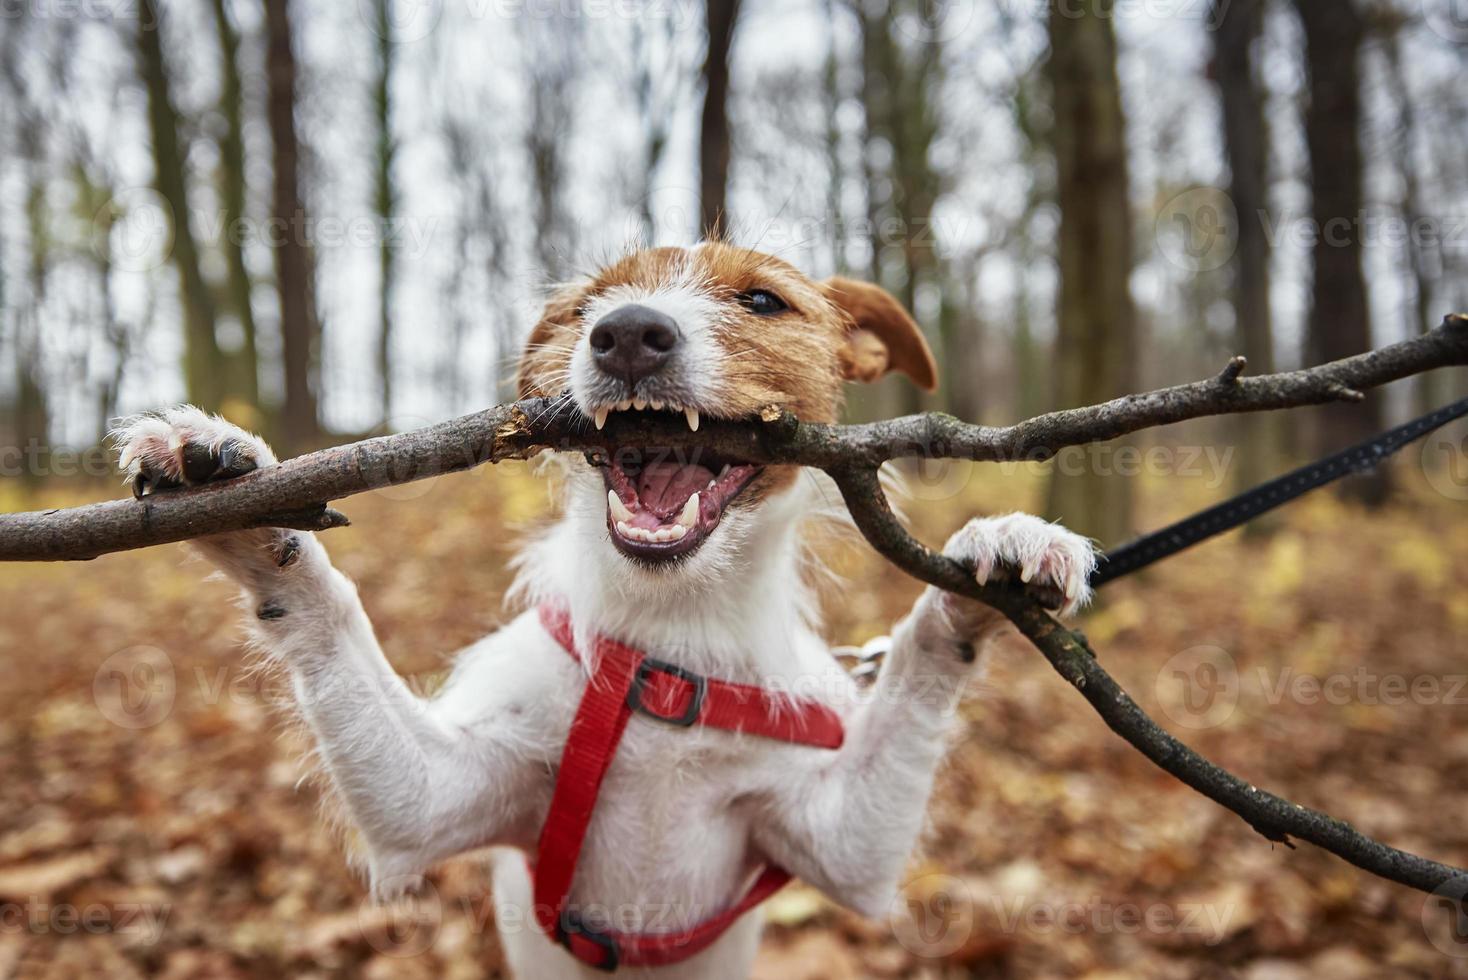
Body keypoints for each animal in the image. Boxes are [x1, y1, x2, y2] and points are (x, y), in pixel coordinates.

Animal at [114, 240, 1098, 974]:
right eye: (594, 302)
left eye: (764, 301)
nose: (626, 333)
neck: (668, 648)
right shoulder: (436, 798)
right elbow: (327, 611)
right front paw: (240, 497)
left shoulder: (840, 843)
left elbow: (919, 665)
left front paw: (995, 557)